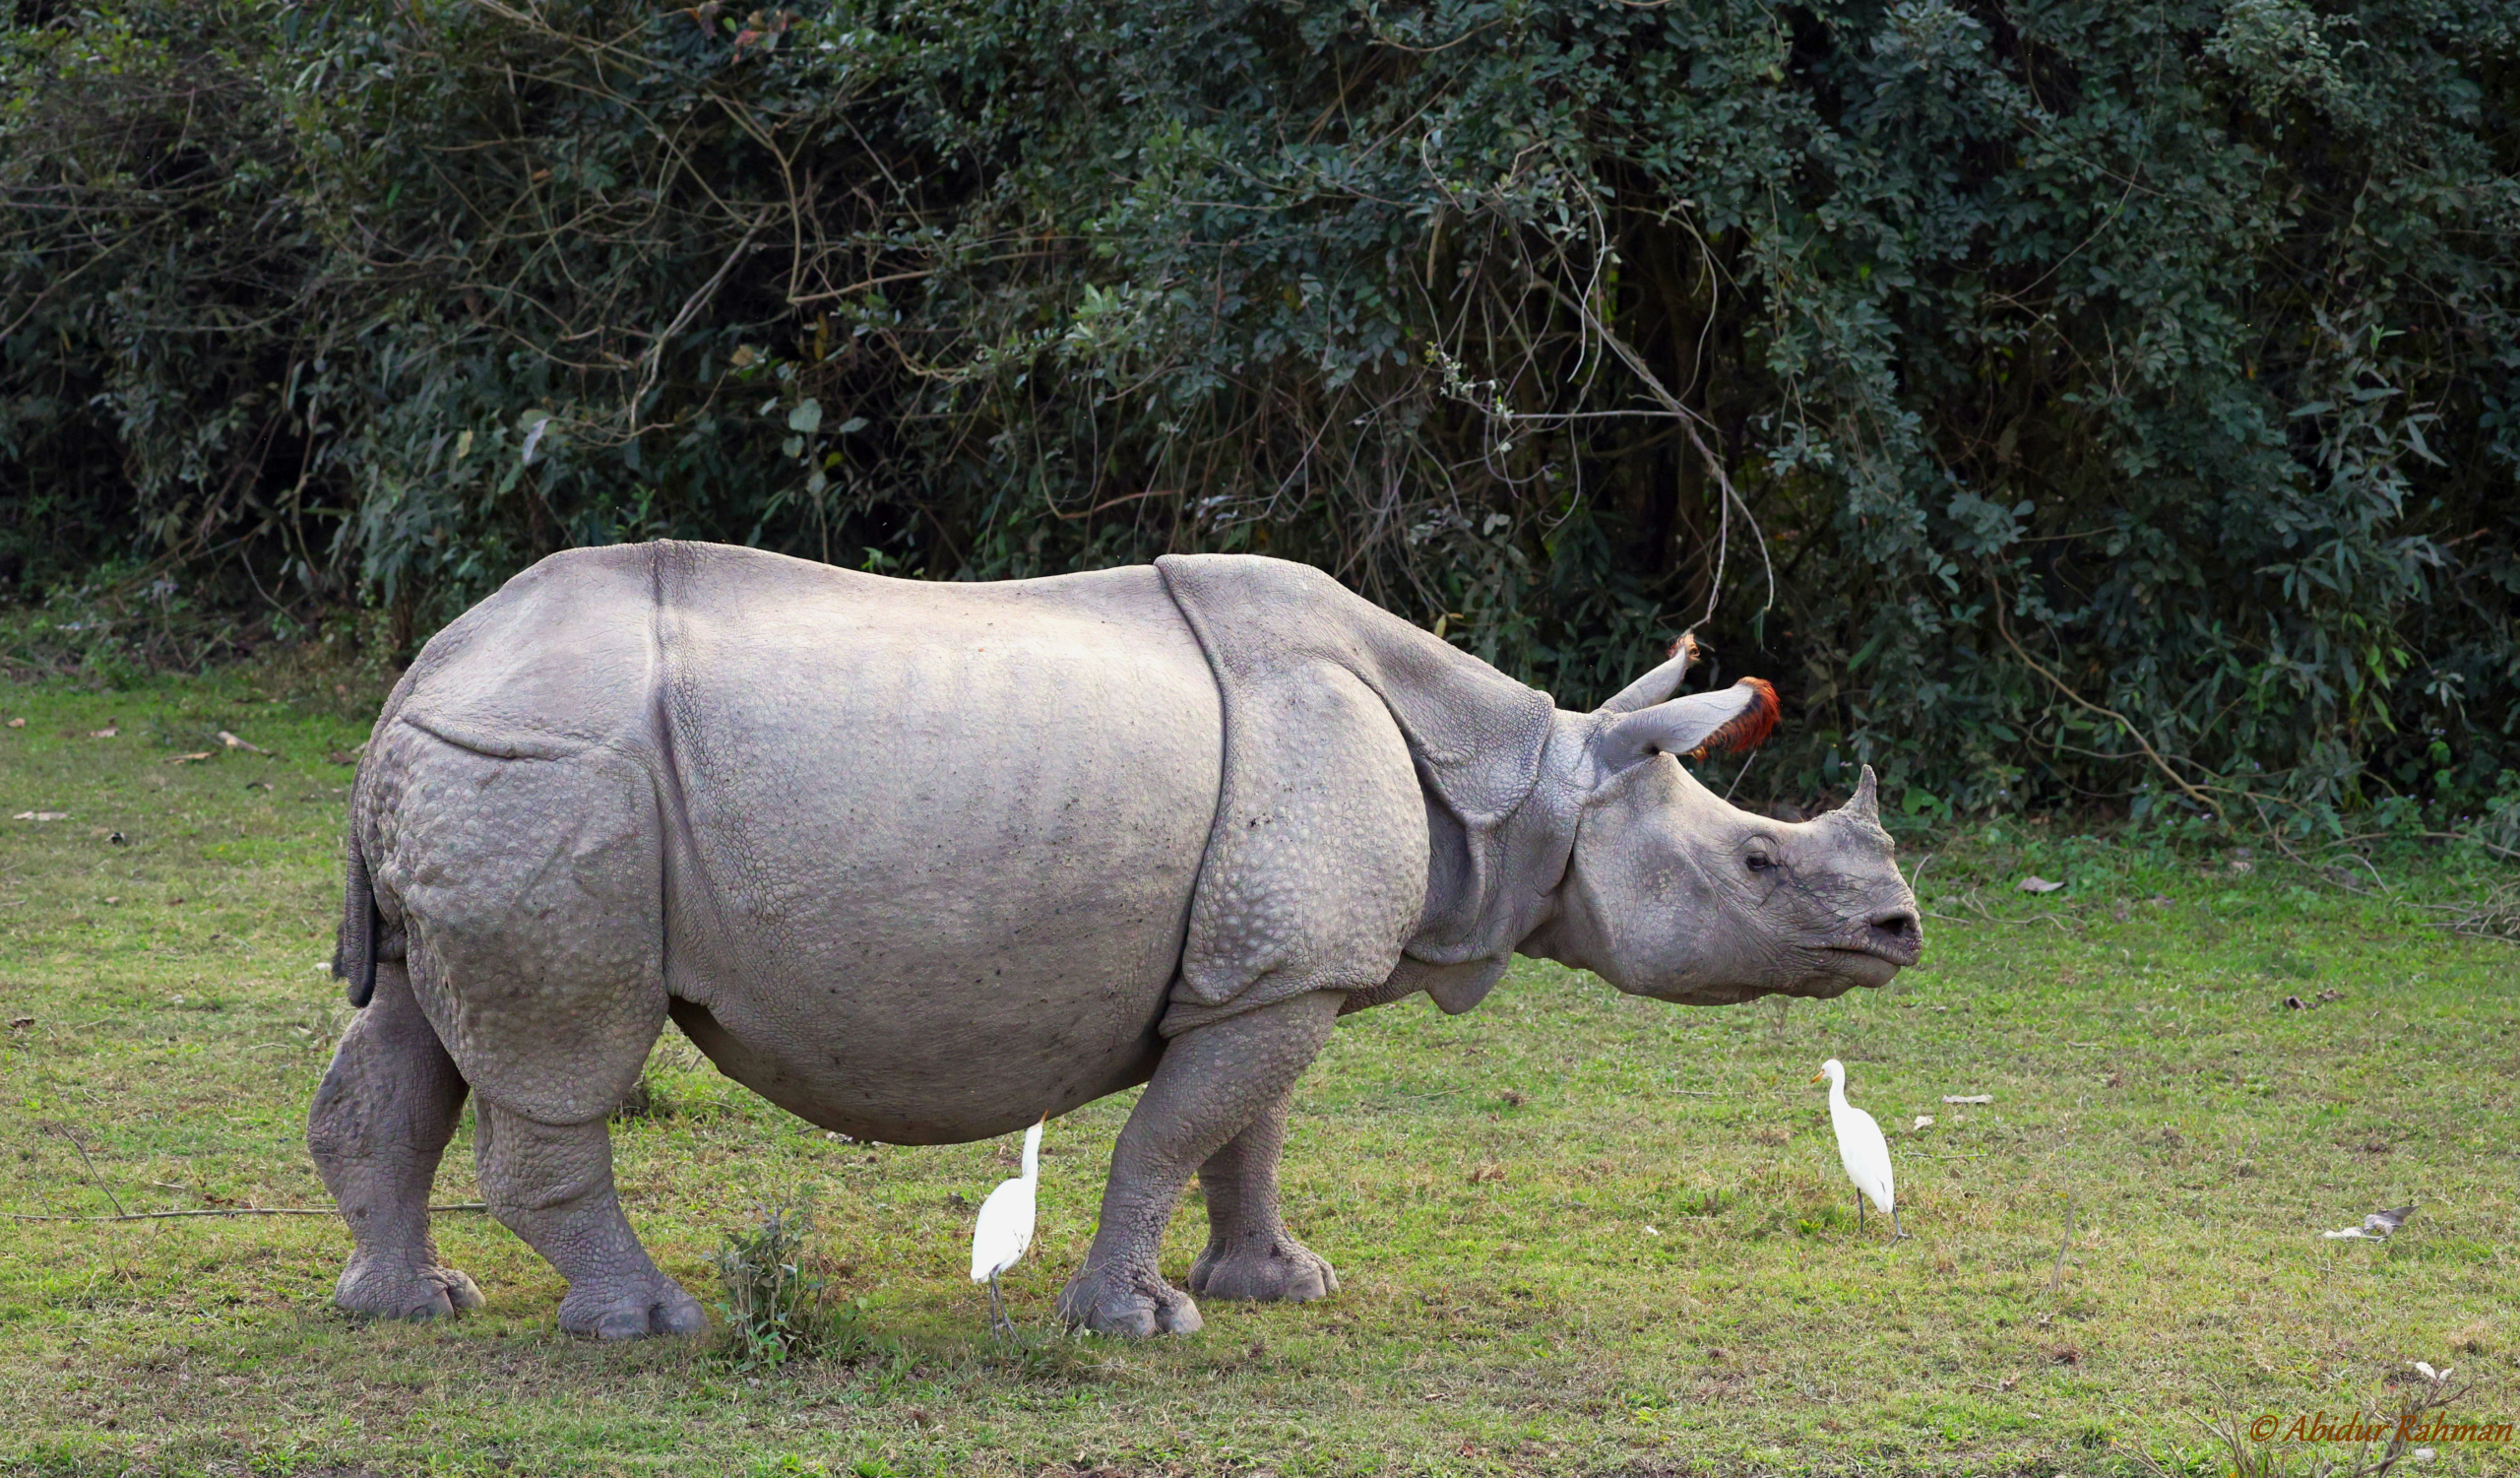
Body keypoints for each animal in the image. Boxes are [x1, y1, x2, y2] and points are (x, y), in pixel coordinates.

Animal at [310, 542, 1920, 1339]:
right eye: (1759, 862)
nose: (1900, 930)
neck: (1525, 780)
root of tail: (416, 680)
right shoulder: (1277, 970)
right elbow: (1172, 1136)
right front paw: (1142, 1324)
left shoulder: (1276, 969)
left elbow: (1249, 1135)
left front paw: (1280, 1285)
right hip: (549, 772)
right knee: (563, 1054)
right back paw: (652, 1323)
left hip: (477, 770)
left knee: (420, 1033)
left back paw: (410, 1308)